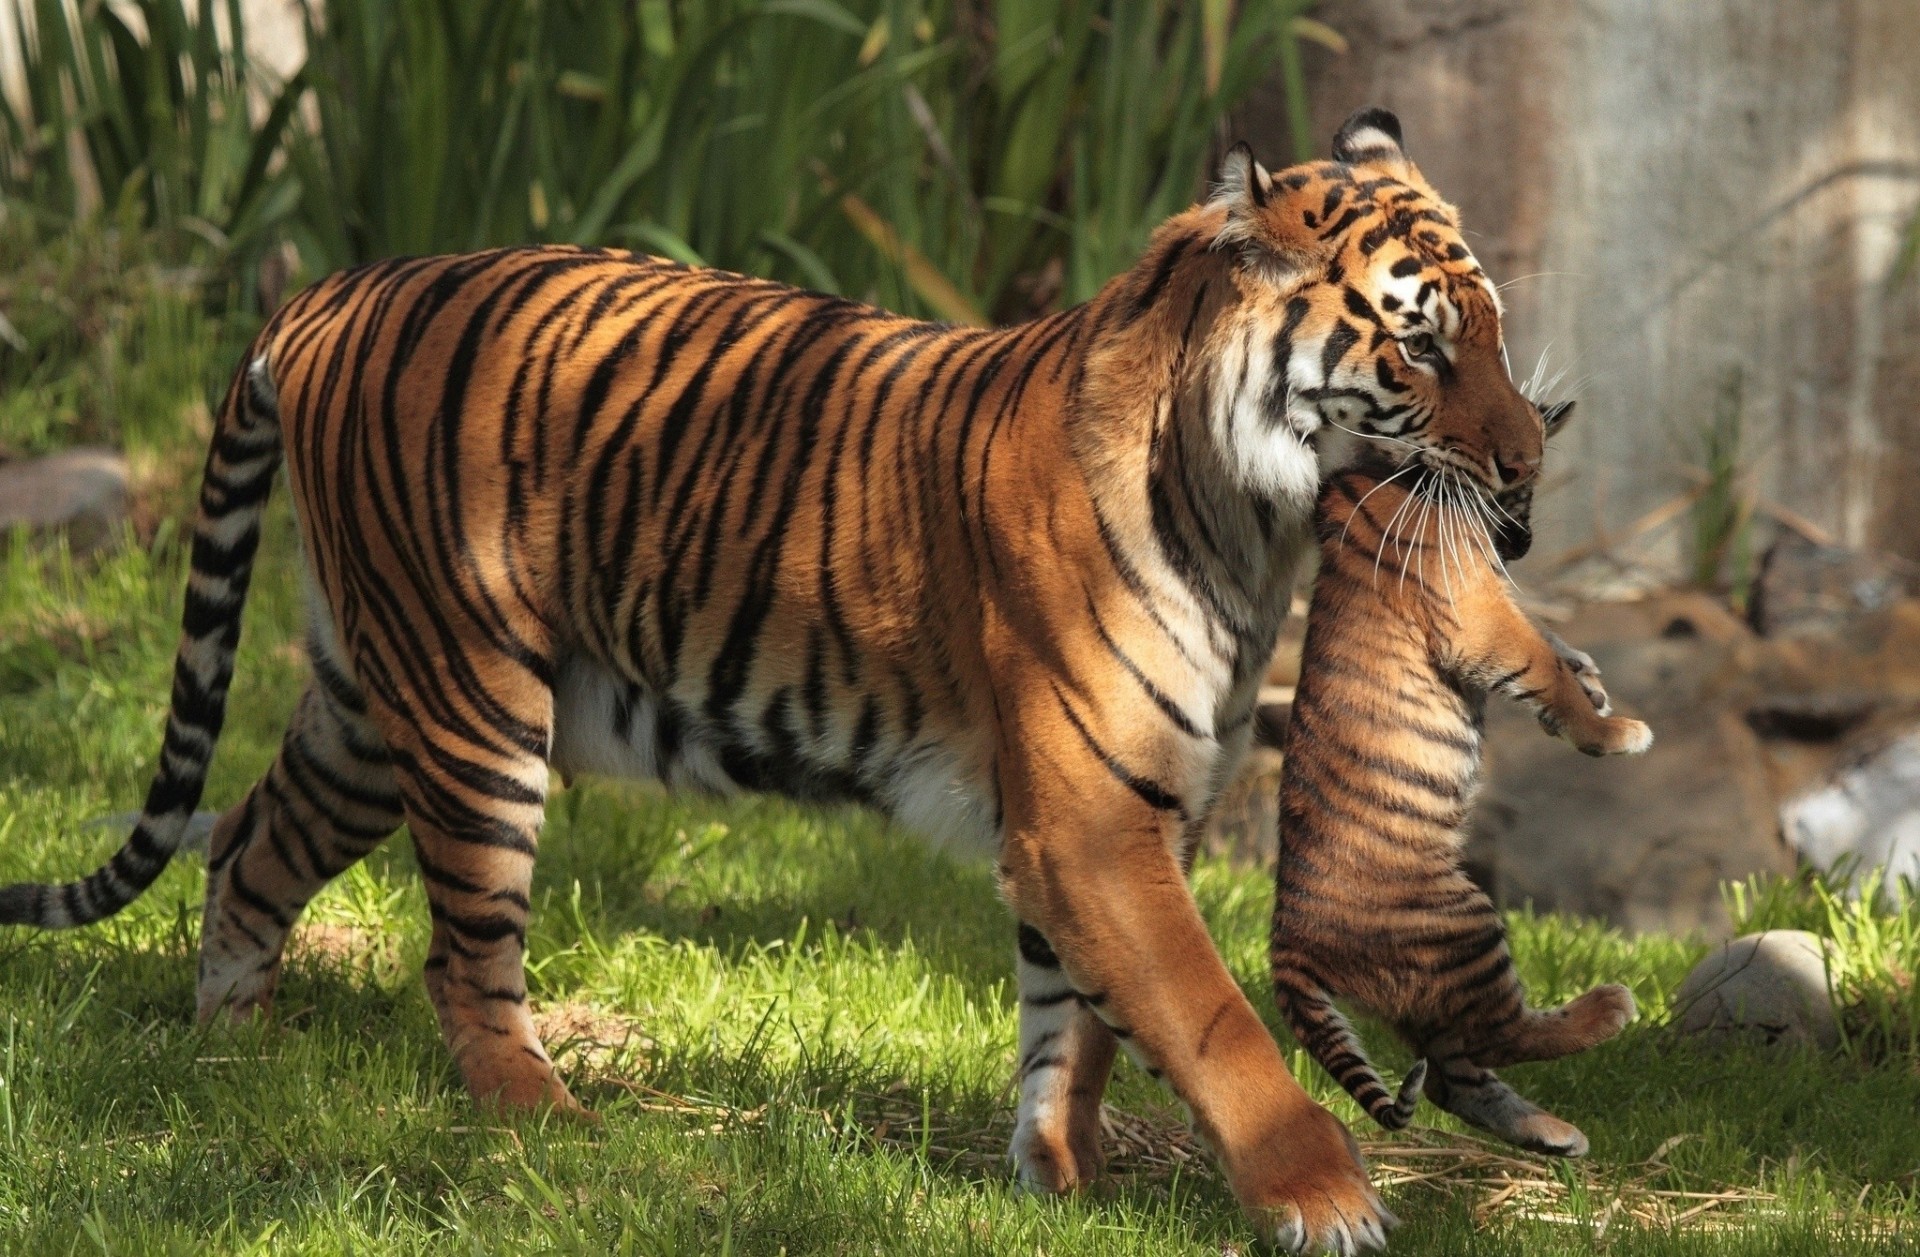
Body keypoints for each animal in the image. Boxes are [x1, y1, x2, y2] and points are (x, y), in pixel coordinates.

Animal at [3, 113, 1543, 1251]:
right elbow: (1208, 1015)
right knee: (460, 954)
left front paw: (1060, 1183)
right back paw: (544, 1121)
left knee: (249, 842)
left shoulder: (1104, 816)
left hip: (374, 701)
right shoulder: (1094, 817)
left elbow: (1077, 1025)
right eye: (1420, 344)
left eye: (1494, 333)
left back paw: (236, 1053)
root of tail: (332, 287)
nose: (1531, 462)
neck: (1252, 525)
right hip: (473, 700)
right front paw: (1323, 1199)